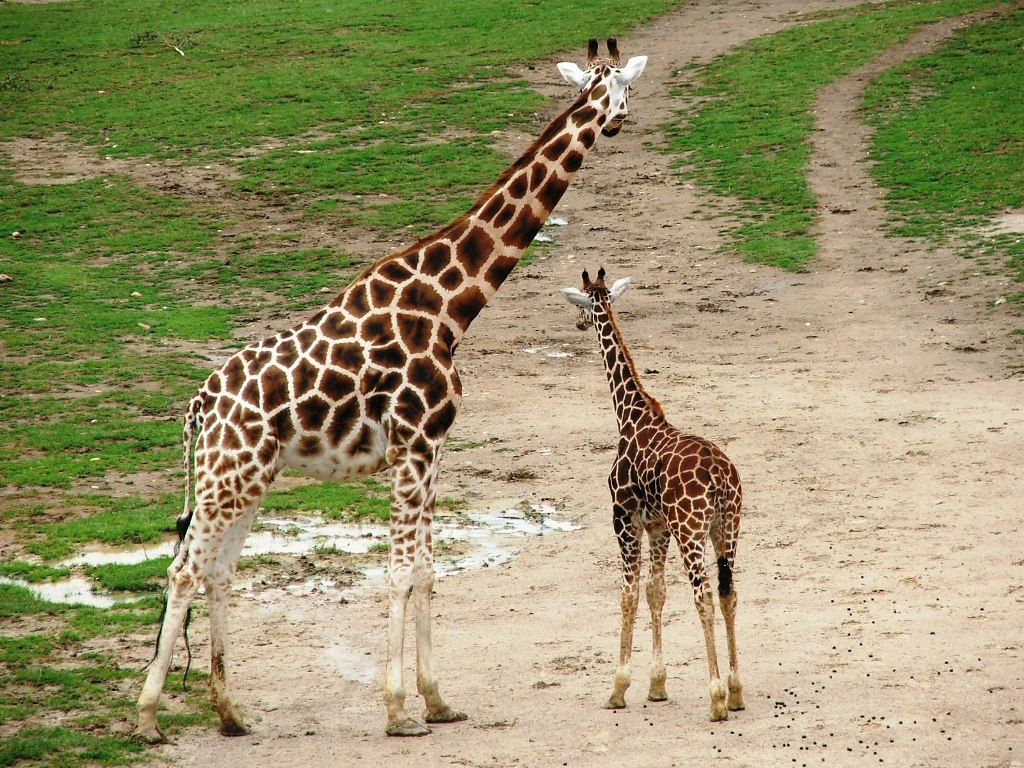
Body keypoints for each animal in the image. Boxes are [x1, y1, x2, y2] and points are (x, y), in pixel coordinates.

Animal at [134, 37, 647, 745]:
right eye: (608, 90)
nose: (620, 120)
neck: (449, 304)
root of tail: (200, 406)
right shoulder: (413, 445)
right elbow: (403, 570)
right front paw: (398, 710)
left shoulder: (431, 449)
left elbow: (428, 570)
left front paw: (438, 700)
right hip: (227, 476)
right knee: (184, 570)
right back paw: (149, 719)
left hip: (247, 477)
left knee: (216, 571)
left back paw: (230, 713)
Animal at [561, 268, 745, 720]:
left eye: (582, 302)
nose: (578, 324)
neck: (630, 416)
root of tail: (720, 477)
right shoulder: (657, 525)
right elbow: (655, 591)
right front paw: (657, 684)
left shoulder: (623, 518)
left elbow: (627, 594)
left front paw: (618, 687)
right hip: (727, 527)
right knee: (728, 592)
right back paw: (735, 691)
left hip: (691, 529)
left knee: (704, 594)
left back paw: (716, 698)